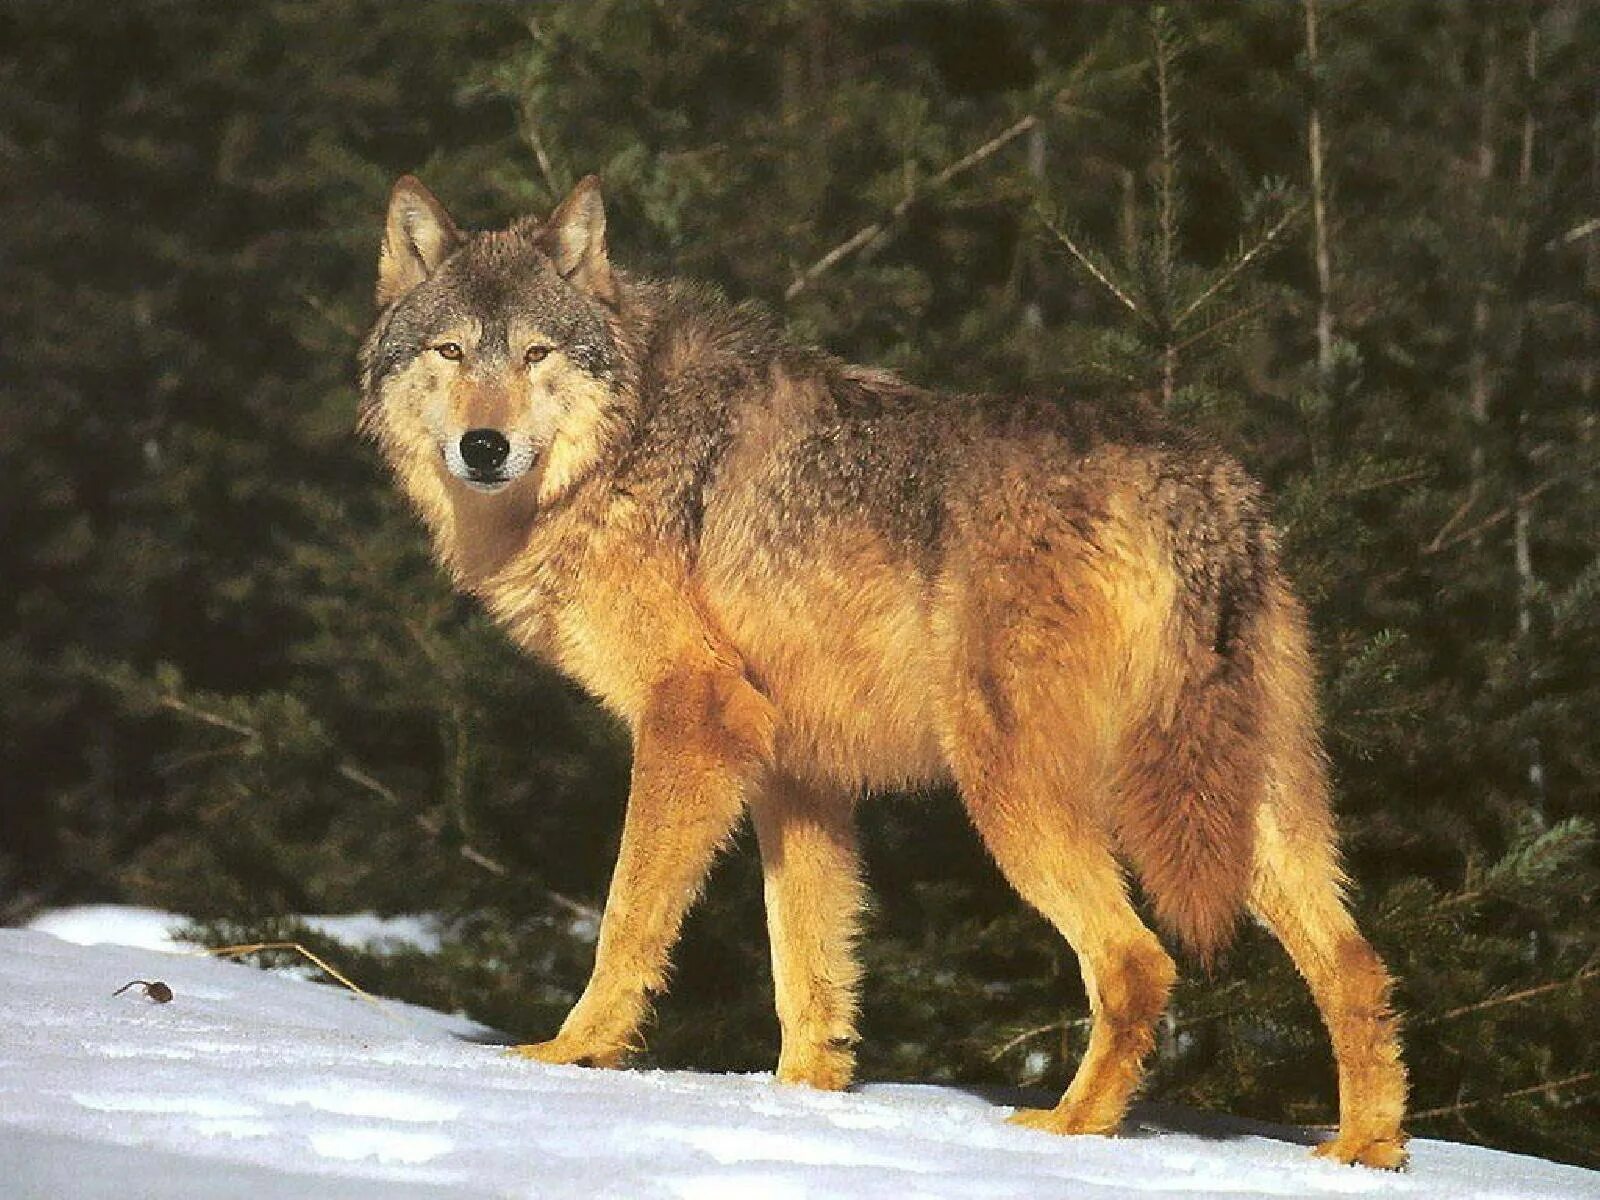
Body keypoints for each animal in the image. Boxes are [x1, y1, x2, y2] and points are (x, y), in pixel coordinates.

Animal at [360, 173, 1401, 1171]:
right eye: (451, 352)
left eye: (536, 355)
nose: (483, 447)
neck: (621, 444)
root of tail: (1194, 484)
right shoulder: (795, 773)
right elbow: (811, 974)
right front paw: (801, 1104)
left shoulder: (692, 714)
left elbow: (630, 917)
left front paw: (569, 1059)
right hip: (1239, 807)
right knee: (1357, 967)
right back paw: (1363, 1154)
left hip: (1022, 794)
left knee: (1136, 962)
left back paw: (1067, 1132)